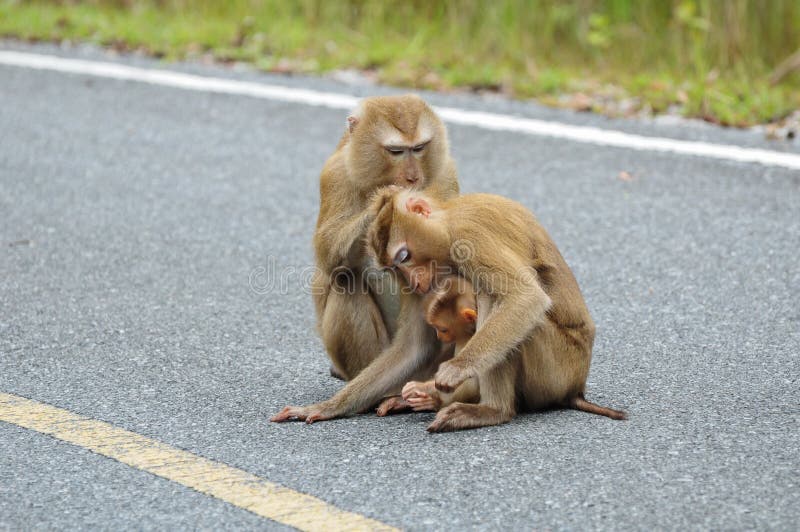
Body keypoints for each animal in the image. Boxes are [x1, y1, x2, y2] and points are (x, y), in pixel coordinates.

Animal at [272, 92, 460, 424]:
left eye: (420, 147)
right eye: (396, 151)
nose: (412, 177)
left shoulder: (445, 173)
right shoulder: (334, 175)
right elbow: (327, 253)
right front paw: (383, 202)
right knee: (345, 279)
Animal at [362, 187, 624, 432]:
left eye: (404, 256)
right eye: (395, 268)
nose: (414, 282)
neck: (448, 222)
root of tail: (576, 388)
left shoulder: (468, 237)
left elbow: (525, 297)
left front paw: (456, 369)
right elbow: (412, 349)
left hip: (557, 371)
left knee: (495, 299)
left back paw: (493, 410)